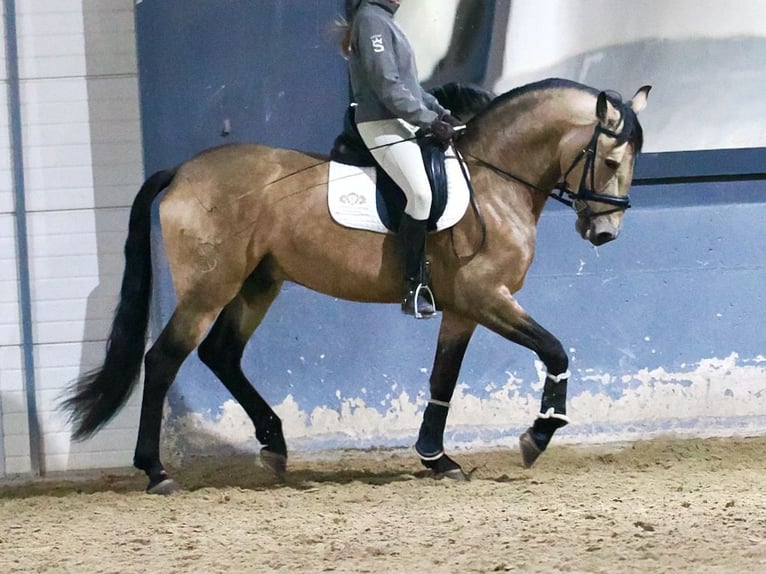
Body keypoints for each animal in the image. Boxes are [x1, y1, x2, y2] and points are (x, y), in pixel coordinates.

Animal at [64, 77, 656, 496]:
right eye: (610, 160)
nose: (605, 232)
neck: (493, 179)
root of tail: (183, 172)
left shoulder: (463, 309)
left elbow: (443, 378)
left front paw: (436, 457)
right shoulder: (487, 297)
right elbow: (555, 349)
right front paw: (538, 434)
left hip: (258, 285)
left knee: (222, 355)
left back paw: (274, 444)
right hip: (209, 290)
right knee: (164, 360)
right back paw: (157, 471)